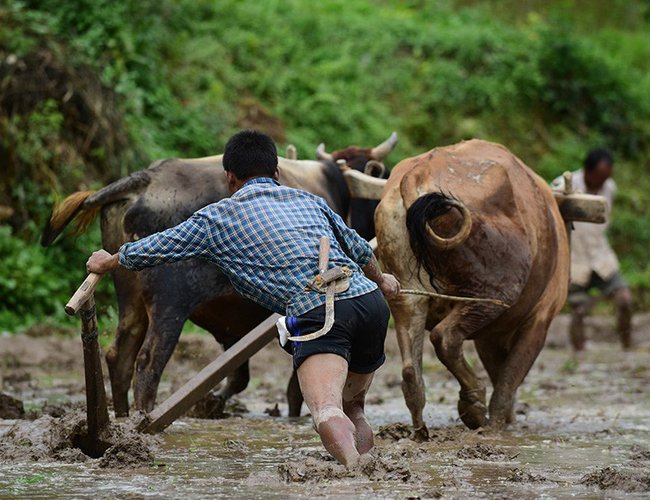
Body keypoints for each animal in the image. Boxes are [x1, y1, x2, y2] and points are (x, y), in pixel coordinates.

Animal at [374, 139, 569, 439]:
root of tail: (418, 173)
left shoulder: (490, 336)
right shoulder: (538, 320)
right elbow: (508, 380)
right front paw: (499, 422)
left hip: (406, 298)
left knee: (410, 372)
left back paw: (420, 430)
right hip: (489, 297)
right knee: (446, 338)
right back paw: (473, 402)